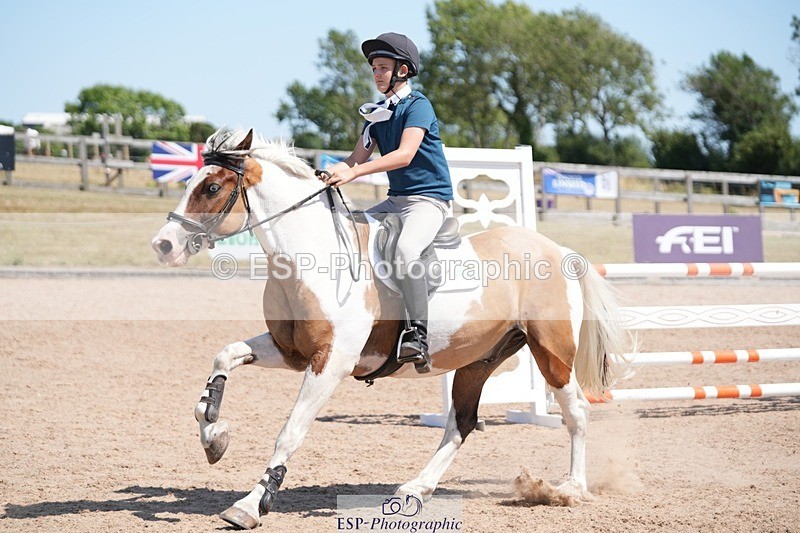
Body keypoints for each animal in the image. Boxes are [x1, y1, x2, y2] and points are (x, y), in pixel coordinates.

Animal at [151, 128, 632, 529]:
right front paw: (214, 435)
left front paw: (251, 504)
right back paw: (415, 488)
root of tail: (558, 250)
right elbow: (225, 355)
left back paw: (570, 489)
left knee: (575, 412)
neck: (311, 257)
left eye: (212, 188)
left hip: (551, 351)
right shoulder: (291, 352)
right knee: (461, 422)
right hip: (479, 359)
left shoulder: (332, 362)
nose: (163, 245)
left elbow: (290, 431)